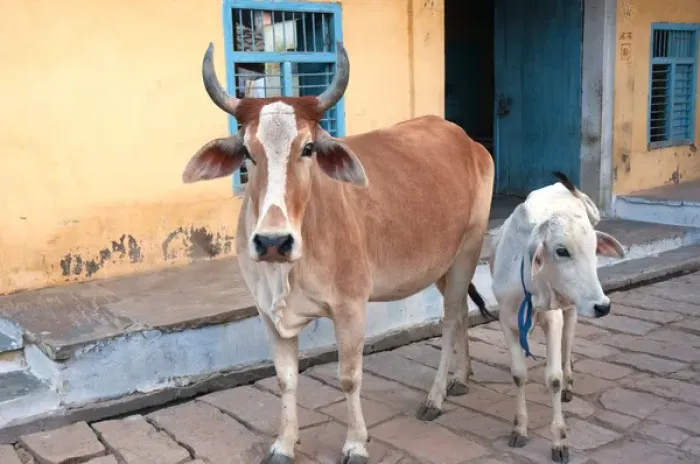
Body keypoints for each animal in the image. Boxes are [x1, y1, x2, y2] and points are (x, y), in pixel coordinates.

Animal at [181, 40, 495, 464]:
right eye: (247, 151)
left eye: (308, 147)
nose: (273, 242)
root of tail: (467, 140)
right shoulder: (266, 312)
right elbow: (285, 379)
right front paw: (284, 443)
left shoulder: (350, 307)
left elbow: (348, 377)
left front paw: (356, 443)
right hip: (444, 266)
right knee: (460, 311)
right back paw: (461, 378)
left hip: (468, 251)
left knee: (448, 321)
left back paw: (436, 397)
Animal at [486, 172, 625, 463]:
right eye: (562, 251)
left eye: (594, 249)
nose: (603, 306)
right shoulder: (506, 321)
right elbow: (518, 374)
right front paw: (519, 428)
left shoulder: (553, 318)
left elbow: (553, 378)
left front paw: (559, 441)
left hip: (571, 310)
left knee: (567, 345)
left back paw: (569, 382)